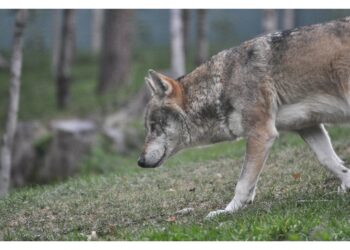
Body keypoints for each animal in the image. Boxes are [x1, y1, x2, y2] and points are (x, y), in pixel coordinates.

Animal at [138, 16, 350, 218]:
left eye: (154, 126)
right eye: (148, 127)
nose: (139, 162)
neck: (222, 84)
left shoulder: (261, 134)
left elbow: (242, 183)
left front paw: (227, 211)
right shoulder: (307, 125)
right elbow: (330, 161)